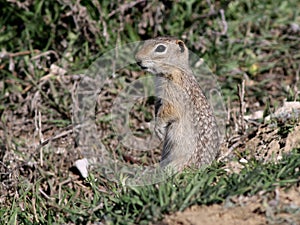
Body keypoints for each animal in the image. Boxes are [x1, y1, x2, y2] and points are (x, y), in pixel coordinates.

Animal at [135, 37, 219, 171]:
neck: (176, 69)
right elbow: (158, 108)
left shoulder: (173, 96)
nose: (137, 59)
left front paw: (158, 128)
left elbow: (169, 111)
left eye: (160, 48)